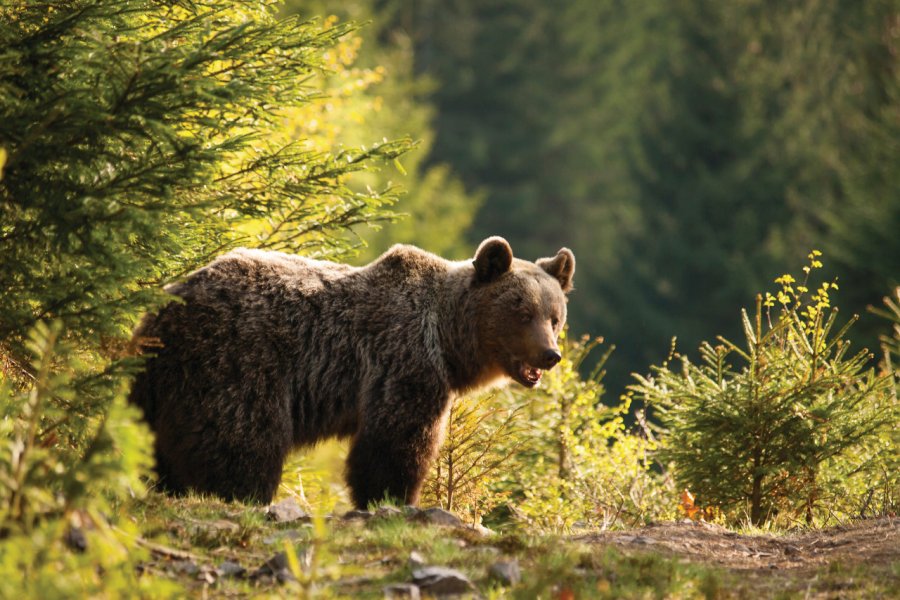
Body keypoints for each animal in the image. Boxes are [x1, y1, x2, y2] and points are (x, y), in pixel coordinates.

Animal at [128, 236, 576, 506]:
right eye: (522, 313)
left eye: (554, 317)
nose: (549, 355)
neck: (449, 342)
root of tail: (161, 315)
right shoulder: (404, 360)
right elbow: (396, 441)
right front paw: (393, 499)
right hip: (236, 362)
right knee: (243, 438)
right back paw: (245, 495)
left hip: (162, 389)